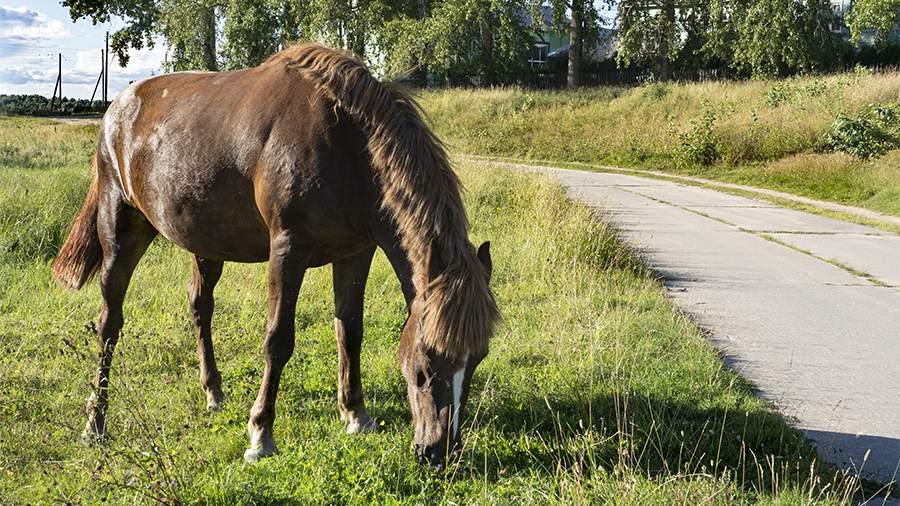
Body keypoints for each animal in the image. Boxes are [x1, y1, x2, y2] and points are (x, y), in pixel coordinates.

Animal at [51, 42, 500, 466]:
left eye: (477, 359)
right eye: (424, 365)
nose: (439, 452)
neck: (348, 145)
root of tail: (117, 108)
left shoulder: (356, 253)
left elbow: (350, 330)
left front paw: (356, 413)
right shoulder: (287, 250)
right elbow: (278, 340)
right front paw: (260, 434)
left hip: (204, 242)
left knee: (200, 306)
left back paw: (213, 393)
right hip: (120, 231)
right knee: (109, 323)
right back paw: (95, 422)